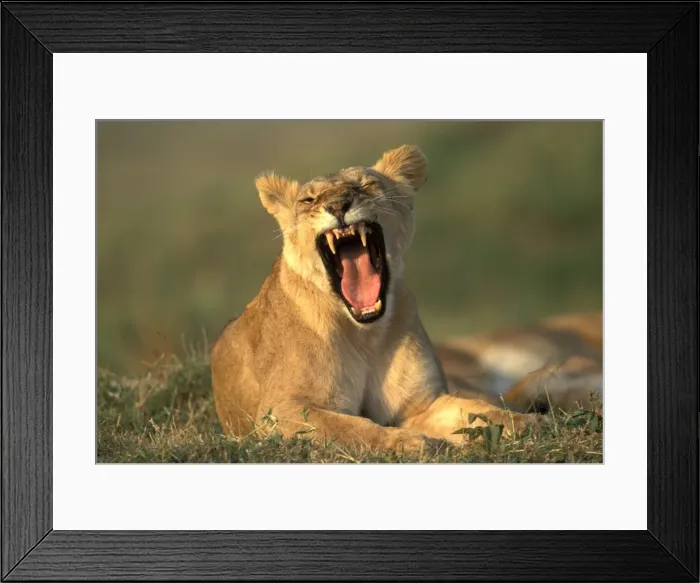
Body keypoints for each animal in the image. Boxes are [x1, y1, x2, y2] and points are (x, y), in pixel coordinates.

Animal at [211, 145, 602, 453]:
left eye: (367, 185)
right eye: (309, 200)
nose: (339, 205)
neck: (363, 334)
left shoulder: (420, 406)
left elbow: (477, 411)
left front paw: (529, 426)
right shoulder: (280, 411)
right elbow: (348, 428)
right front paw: (410, 443)